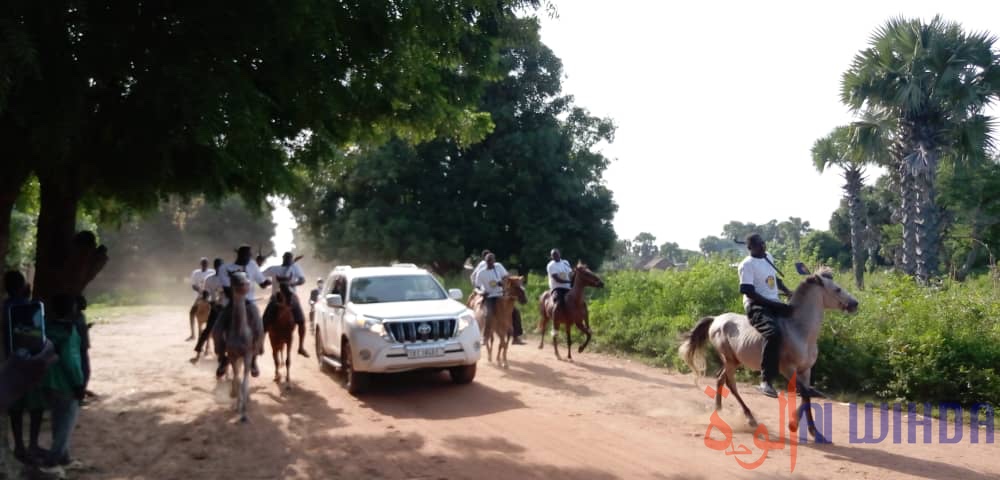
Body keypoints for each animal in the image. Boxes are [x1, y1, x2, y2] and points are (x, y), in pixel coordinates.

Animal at [680, 268, 860, 440]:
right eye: (837, 289)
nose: (855, 303)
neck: (800, 331)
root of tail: (716, 319)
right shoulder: (788, 369)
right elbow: (805, 393)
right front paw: (795, 425)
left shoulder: (805, 370)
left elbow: (806, 395)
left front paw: (813, 431)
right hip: (729, 359)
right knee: (730, 383)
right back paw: (748, 418)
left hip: (735, 360)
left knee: (720, 379)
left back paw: (721, 412)